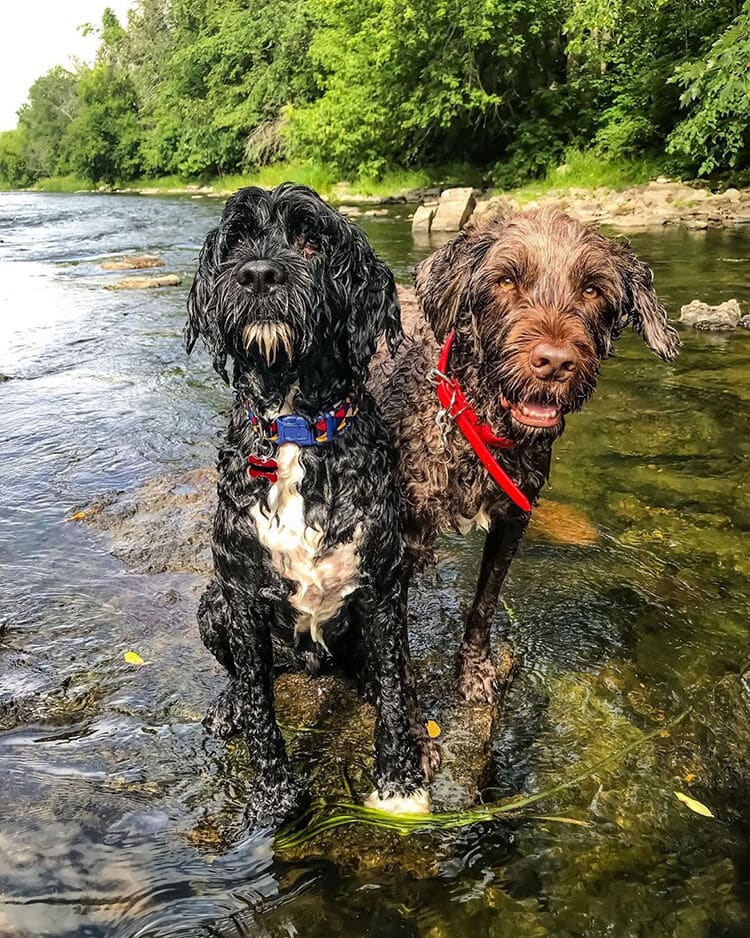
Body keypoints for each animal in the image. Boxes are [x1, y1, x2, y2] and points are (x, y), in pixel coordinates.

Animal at [184, 185, 434, 828]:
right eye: (238, 241)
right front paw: (274, 792)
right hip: (213, 605)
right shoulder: (242, 591)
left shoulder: (384, 584)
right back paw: (229, 706)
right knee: (249, 674)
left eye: (311, 242)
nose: (257, 275)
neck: (296, 426)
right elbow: (260, 706)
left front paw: (399, 781)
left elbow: (392, 689)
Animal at [374, 207, 680, 704]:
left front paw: (475, 670)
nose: (554, 363)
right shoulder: (400, 534)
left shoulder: (511, 522)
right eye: (505, 280)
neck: (476, 423)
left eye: (592, 288)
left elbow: (484, 604)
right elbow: (392, 639)